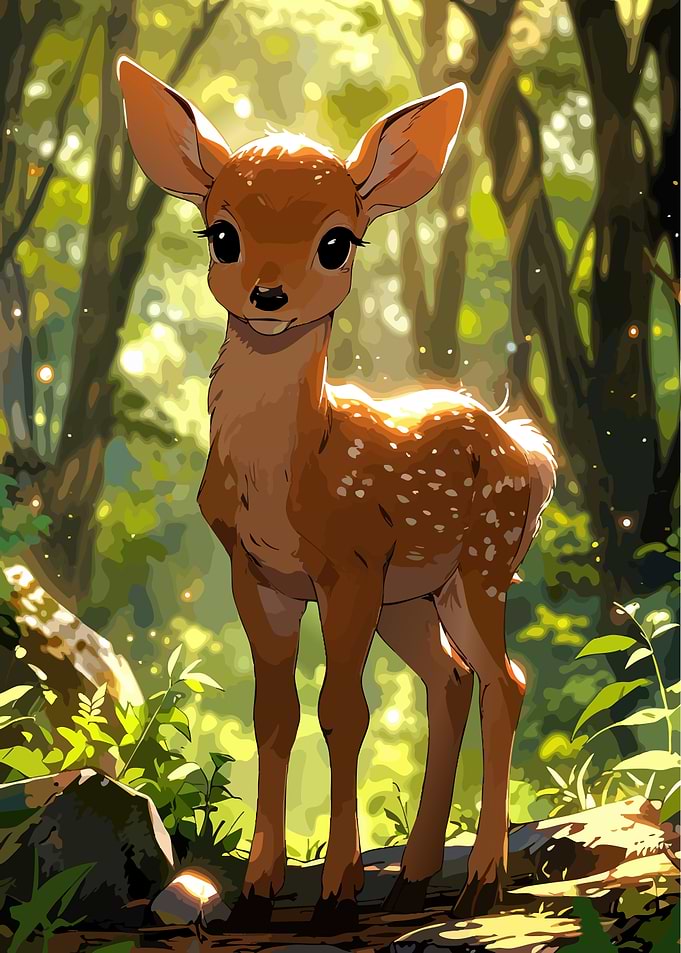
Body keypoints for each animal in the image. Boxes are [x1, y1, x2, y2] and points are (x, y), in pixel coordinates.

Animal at [117, 57, 556, 932]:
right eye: (222, 232)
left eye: (335, 241)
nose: (268, 295)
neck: (287, 481)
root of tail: (528, 452)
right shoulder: (257, 574)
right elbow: (274, 714)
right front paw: (257, 893)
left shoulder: (348, 562)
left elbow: (342, 710)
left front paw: (334, 896)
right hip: (412, 596)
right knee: (450, 680)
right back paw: (415, 879)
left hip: (481, 565)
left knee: (504, 680)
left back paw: (481, 881)